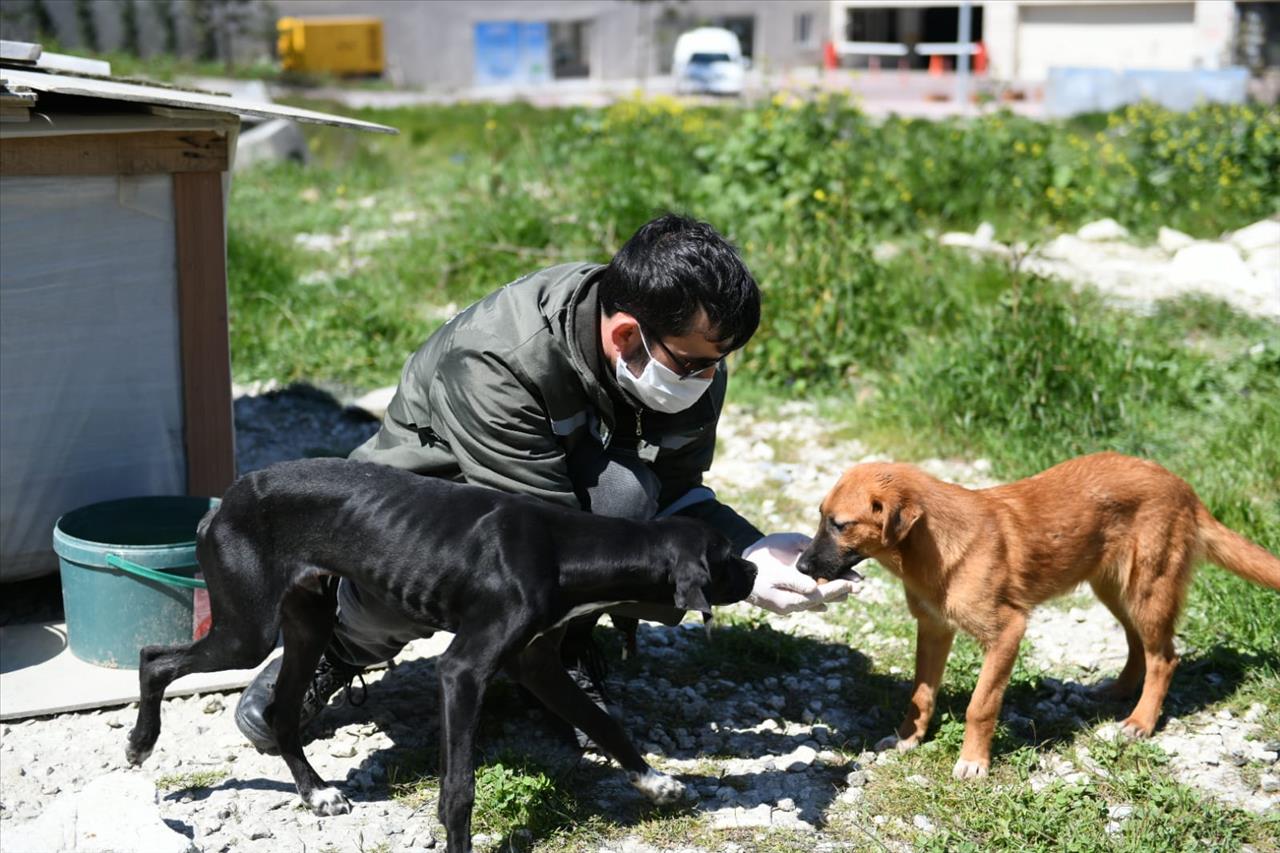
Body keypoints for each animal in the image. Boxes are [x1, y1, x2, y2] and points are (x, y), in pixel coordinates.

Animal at [124, 458, 752, 850]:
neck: (566, 548)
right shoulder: (463, 672)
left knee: (280, 714)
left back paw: (316, 793)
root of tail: (221, 505)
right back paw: (140, 742)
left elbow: (605, 725)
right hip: (248, 630)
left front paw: (656, 783)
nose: (751, 571)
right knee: (155, 658)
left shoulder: (537, 666)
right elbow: (459, 790)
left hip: (307, 623)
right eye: (725, 557)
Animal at [798, 450, 1280, 778]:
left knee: (1165, 656)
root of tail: (1185, 488)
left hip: (1148, 589)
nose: (801, 567)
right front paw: (908, 737)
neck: (933, 547)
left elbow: (981, 705)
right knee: (1136, 644)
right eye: (821, 517)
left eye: (839, 525)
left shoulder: (1008, 631)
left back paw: (1140, 721)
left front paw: (973, 762)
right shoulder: (934, 628)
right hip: (1113, 588)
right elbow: (921, 694)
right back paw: (1116, 692)